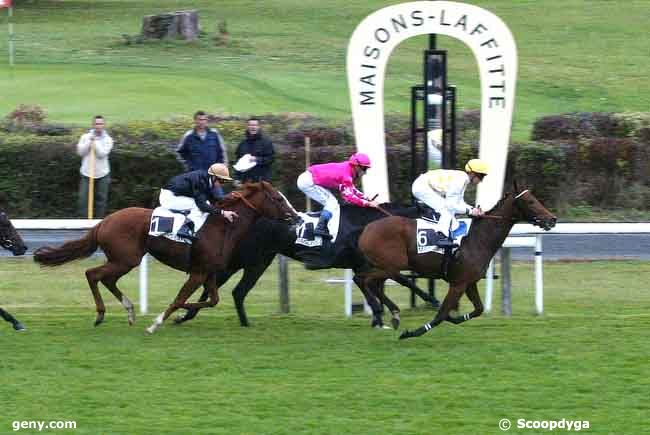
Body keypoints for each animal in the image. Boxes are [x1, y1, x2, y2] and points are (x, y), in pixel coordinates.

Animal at [30, 181, 294, 334]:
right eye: (278, 198)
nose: (295, 217)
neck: (223, 227)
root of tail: (104, 222)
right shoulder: (197, 272)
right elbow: (180, 299)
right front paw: (157, 323)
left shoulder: (208, 272)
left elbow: (211, 300)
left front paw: (180, 314)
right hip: (126, 259)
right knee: (92, 274)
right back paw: (101, 314)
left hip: (123, 260)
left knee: (106, 279)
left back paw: (129, 311)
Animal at [176, 204, 440, 330]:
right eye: (430, 211)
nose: (441, 231)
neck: (370, 224)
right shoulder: (365, 264)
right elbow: (396, 280)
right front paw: (429, 300)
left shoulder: (364, 265)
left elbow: (377, 284)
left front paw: (379, 316)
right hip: (244, 259)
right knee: (216, 283)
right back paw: (186, 314)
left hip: (260, 261)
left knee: (236, 291)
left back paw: (239, 321)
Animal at [354, 187, 556, 340]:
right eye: (531, 202)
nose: (552, 219)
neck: (477, 239)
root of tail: (366, 229)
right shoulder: (458, 283)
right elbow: (441, 314)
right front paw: (411, 333)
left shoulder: (469, 282)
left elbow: (478, 309)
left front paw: (454, 318)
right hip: (391, 265)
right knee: (367, 281)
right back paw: (387, 312)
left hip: (384, 266)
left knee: (364, 280)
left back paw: (391, 313)